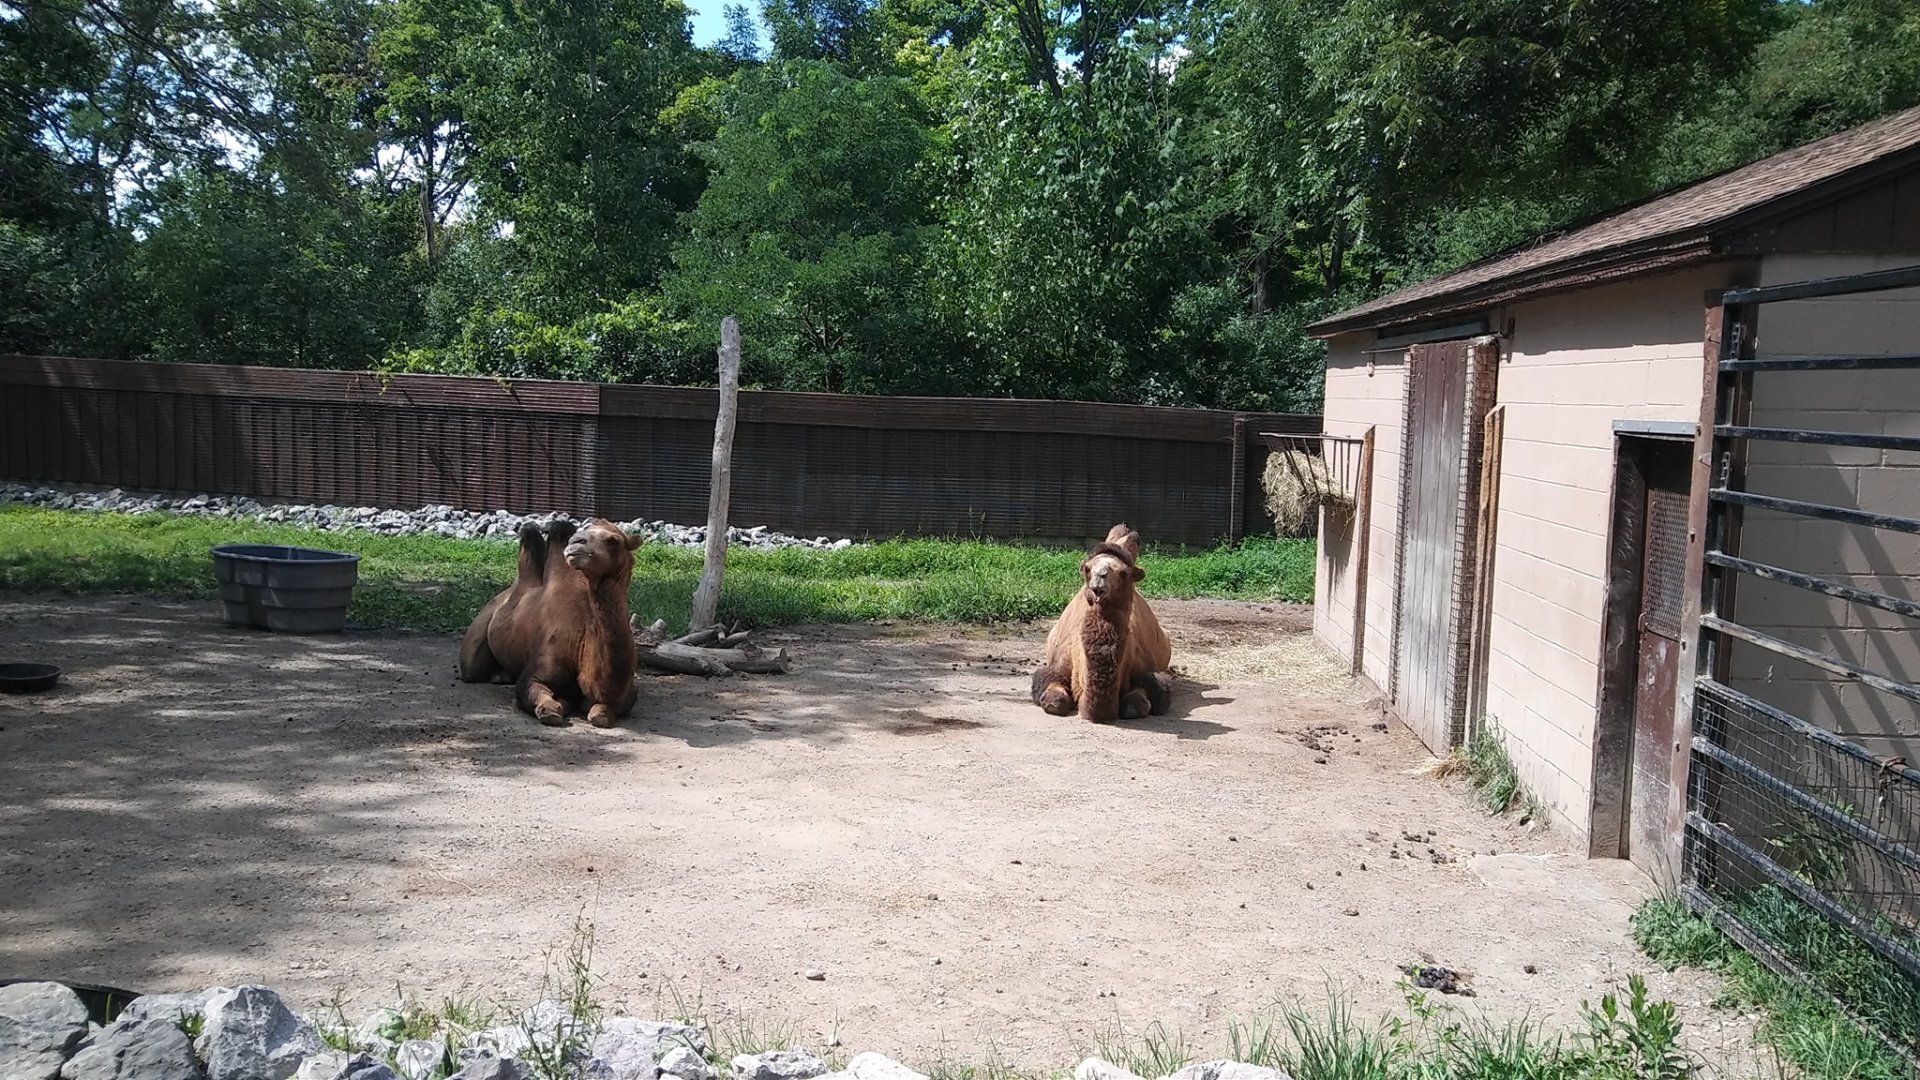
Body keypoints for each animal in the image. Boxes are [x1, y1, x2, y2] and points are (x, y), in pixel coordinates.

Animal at [458, 517, 641, 727]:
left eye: (613, 540)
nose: (575, 542)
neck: (581, 642)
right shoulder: (537, 670)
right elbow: (539, 698)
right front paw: (552, 708)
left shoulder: (625, 691)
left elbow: (603, 713)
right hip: (477, 640)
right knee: (472, 669)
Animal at [1030, 524, 1174, 723]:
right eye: (1087, 569)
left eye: (1124, 573)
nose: (1099, 580)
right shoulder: (1056, 666)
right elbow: (1054, 699)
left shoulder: (1152, 673)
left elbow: (1139, 702)